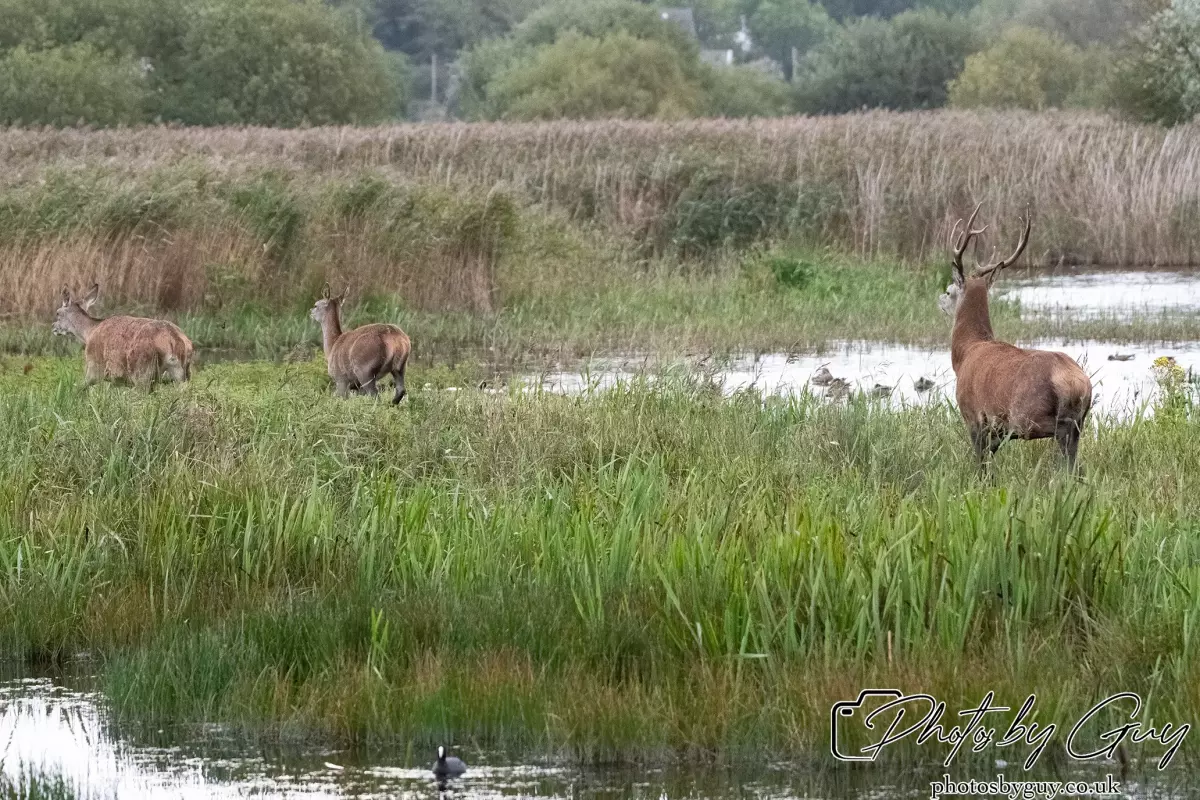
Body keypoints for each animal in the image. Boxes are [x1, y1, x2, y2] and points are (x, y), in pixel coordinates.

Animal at [52, 283, 193, 389]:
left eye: (58, 313)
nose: (53, 327)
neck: (89, 332)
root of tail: (174, 340)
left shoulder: (94, 366)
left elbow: (80, 387)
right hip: (183, 375)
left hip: (142, 371)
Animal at [939, 205, 1093, 472]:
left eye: (949, 291)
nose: (939, 299)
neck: (966, 352)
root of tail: (1077, 382)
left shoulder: (972, 414)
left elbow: (981, 463)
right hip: (1082, 417)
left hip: (1029, 416)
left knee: (1063, 439)